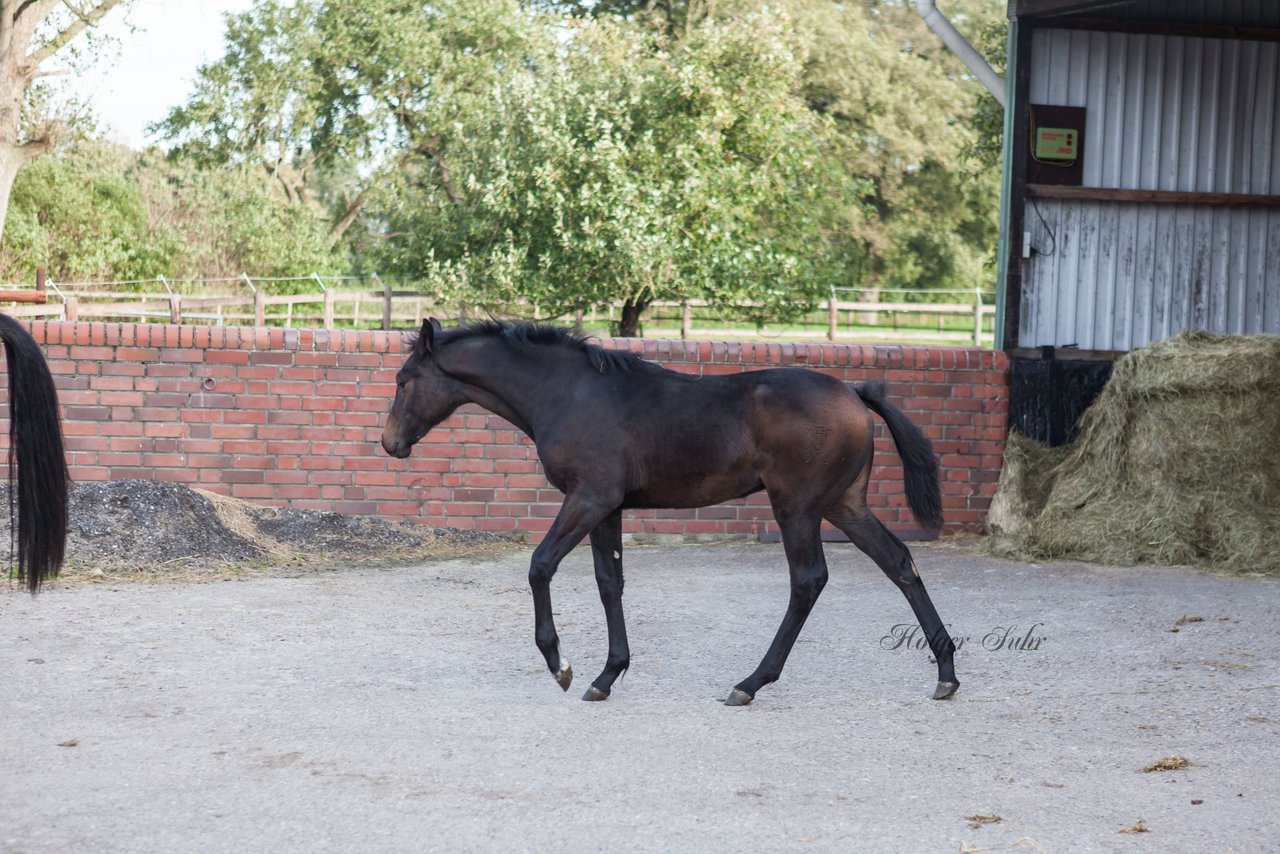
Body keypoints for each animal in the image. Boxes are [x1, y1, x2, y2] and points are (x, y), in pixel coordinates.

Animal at [384, 320, 957, 706]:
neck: (569, 393)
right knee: (898, 562)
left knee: (808, 580)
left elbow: (540, 565)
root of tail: (857, 393)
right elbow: (609, 582)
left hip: (797, 507)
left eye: (404, 380)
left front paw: (560, 664)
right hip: (845, 504)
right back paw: (946, 673)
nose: (390, 443)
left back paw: (750, 683)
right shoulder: (608, 507)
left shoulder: (587, 498)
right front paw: (607, 676)